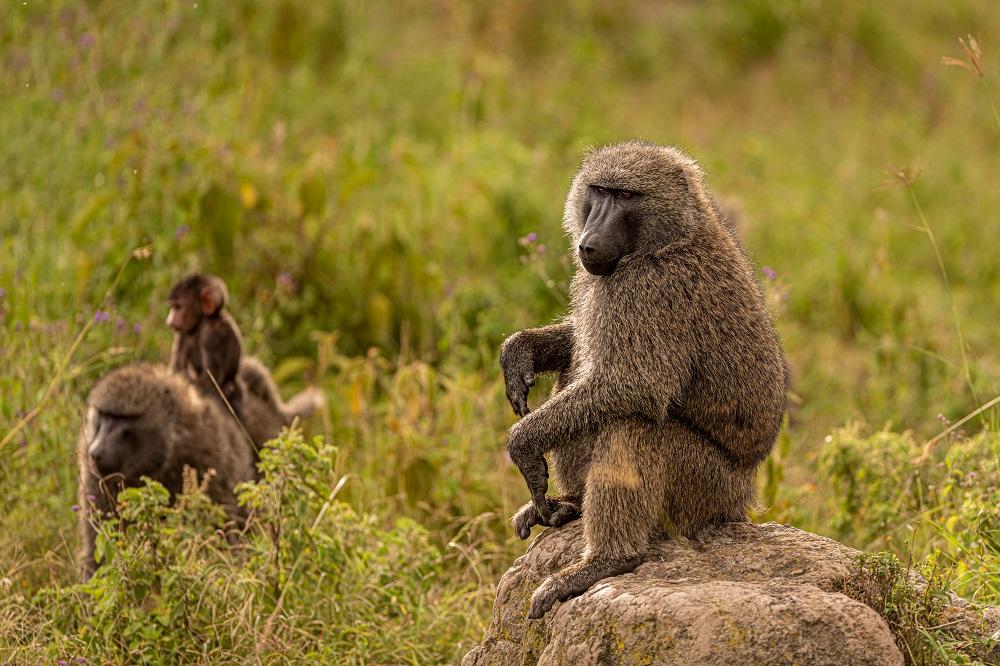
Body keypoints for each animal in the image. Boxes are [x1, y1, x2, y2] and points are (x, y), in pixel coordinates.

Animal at [166, 273, 244, 413]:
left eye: (178, 307)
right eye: (173, 307)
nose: (169, 321)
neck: (203, 320)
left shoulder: (211, 334)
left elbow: (209, 381)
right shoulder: (183, 333)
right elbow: (176, 365)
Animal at [500, 142, 788, 619]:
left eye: (625, 196)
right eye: (599, 191)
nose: (589, 243)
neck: (670, 237)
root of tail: (743, 498)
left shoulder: (651, 290)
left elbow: (636, 385)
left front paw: (522, 443)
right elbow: (583, 347)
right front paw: (521, 350)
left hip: (706, 489)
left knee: (632, 426)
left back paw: (606, 560)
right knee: (578, 373)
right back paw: (571, 505)